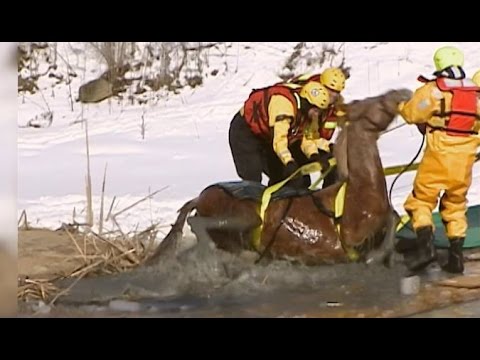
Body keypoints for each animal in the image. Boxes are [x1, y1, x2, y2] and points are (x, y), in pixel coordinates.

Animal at [147, 87, 412, 268]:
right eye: (373, 103)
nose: (403, 93)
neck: (359, 190)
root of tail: (200, 196)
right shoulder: (353, 235)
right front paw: (377, 257)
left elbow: (394, 217)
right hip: (244, 218)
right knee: (196, 223)